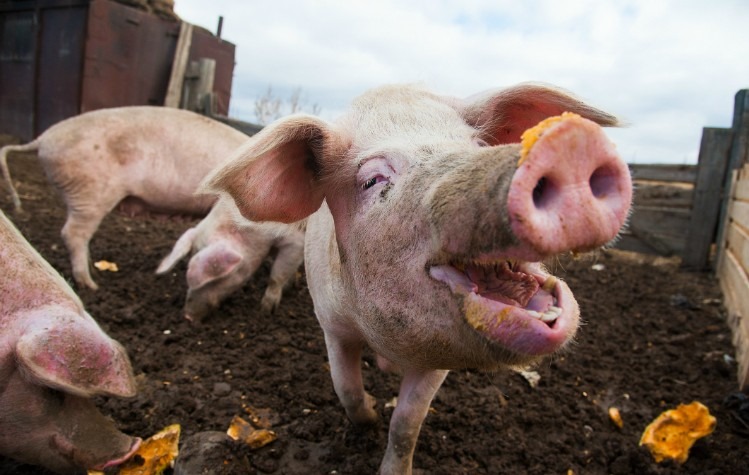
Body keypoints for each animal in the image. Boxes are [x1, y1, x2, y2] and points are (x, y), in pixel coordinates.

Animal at [156, 197, 306, 324]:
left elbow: (277, 276)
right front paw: (291, 285)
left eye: (214, 280)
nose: (187, 317)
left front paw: (266, 311)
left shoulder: (295, 240)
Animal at [200, 83, 632, 474]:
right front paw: (370, 416)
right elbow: (346, 388)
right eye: (372, 180)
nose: (569, 143)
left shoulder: (439, 358)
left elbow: (407, 424)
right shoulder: (331, 324)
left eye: (478, 145)